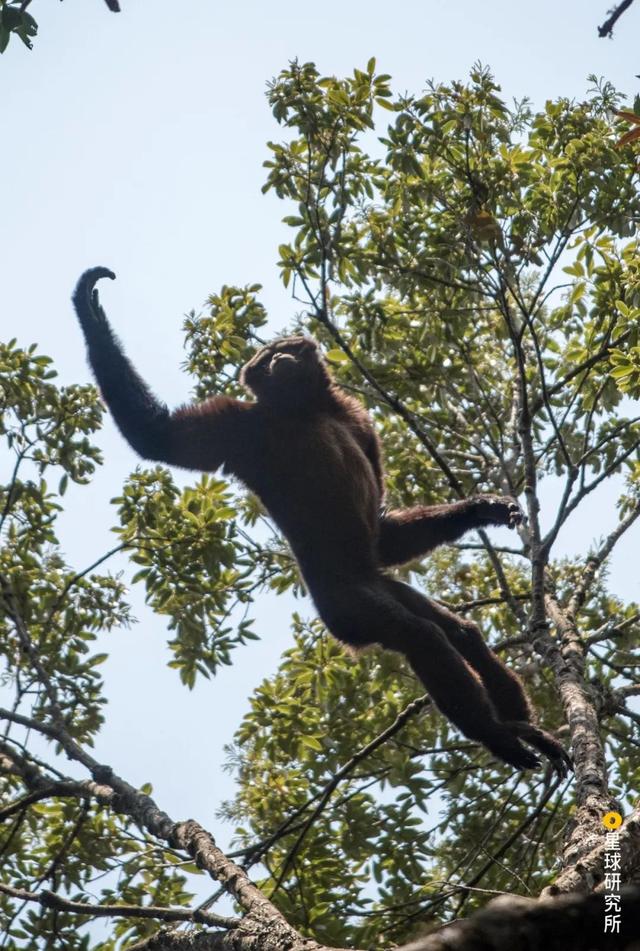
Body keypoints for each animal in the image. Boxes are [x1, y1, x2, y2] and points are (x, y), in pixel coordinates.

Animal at [74, 266, 568, 772]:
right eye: (265, 359)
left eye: (284, 350)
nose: (277, 359)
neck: (306, 409)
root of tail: (356, 579)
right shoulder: (243, 426)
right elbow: (158, 438)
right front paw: (89, 311)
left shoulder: (358, 419)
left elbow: (383, 535)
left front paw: (482, 509)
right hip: (346, 606)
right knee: (421, 635)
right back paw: (499, 734)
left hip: (374, 585)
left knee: (457, 631)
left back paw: (517, 723)